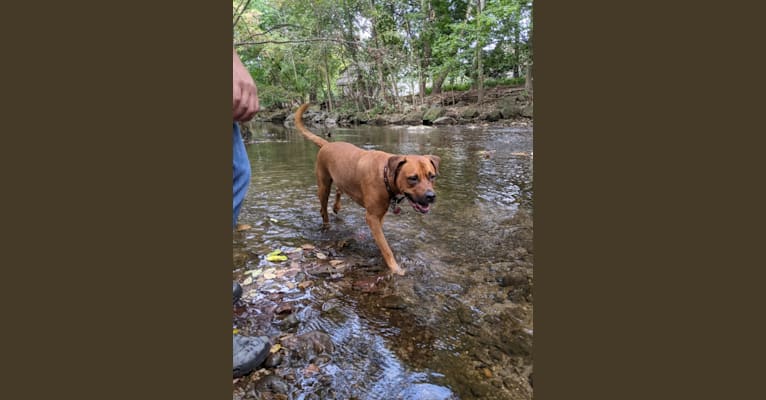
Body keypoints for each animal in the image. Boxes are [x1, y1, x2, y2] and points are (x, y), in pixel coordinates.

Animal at [294, 103, 440, 276]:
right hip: (323, 185)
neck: (385, 174)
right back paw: (326, 223)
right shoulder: (372, 217)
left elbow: (380, 240)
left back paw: (336, 207)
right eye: (413, 178)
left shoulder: (379, 216)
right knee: (323, 208)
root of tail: (327, 144)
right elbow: (386, 248)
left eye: (432, 176)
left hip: (341, 178)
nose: (431, 196)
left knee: (339, 190)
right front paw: (395, 268)